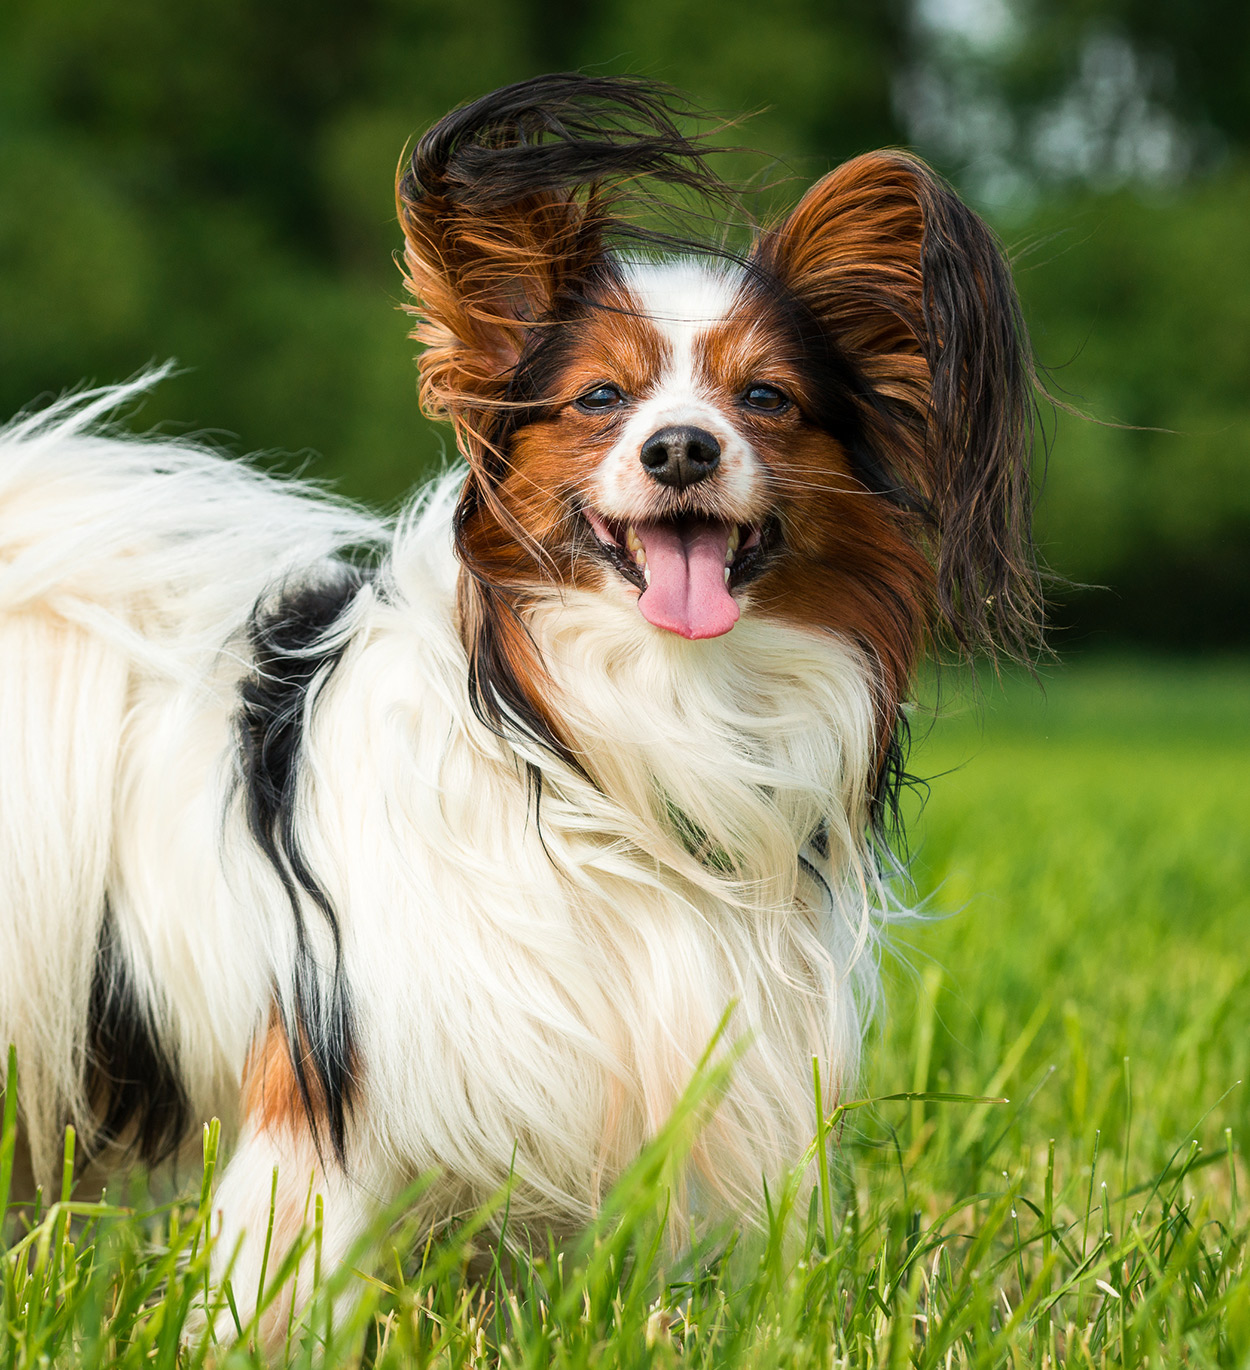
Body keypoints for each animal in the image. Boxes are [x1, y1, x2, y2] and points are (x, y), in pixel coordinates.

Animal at [0, 75, 1041, 1337]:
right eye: (600, 396)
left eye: (764, 397)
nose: (681, 448)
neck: (620, 721)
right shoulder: (334, 1074)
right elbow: (282, 1273)